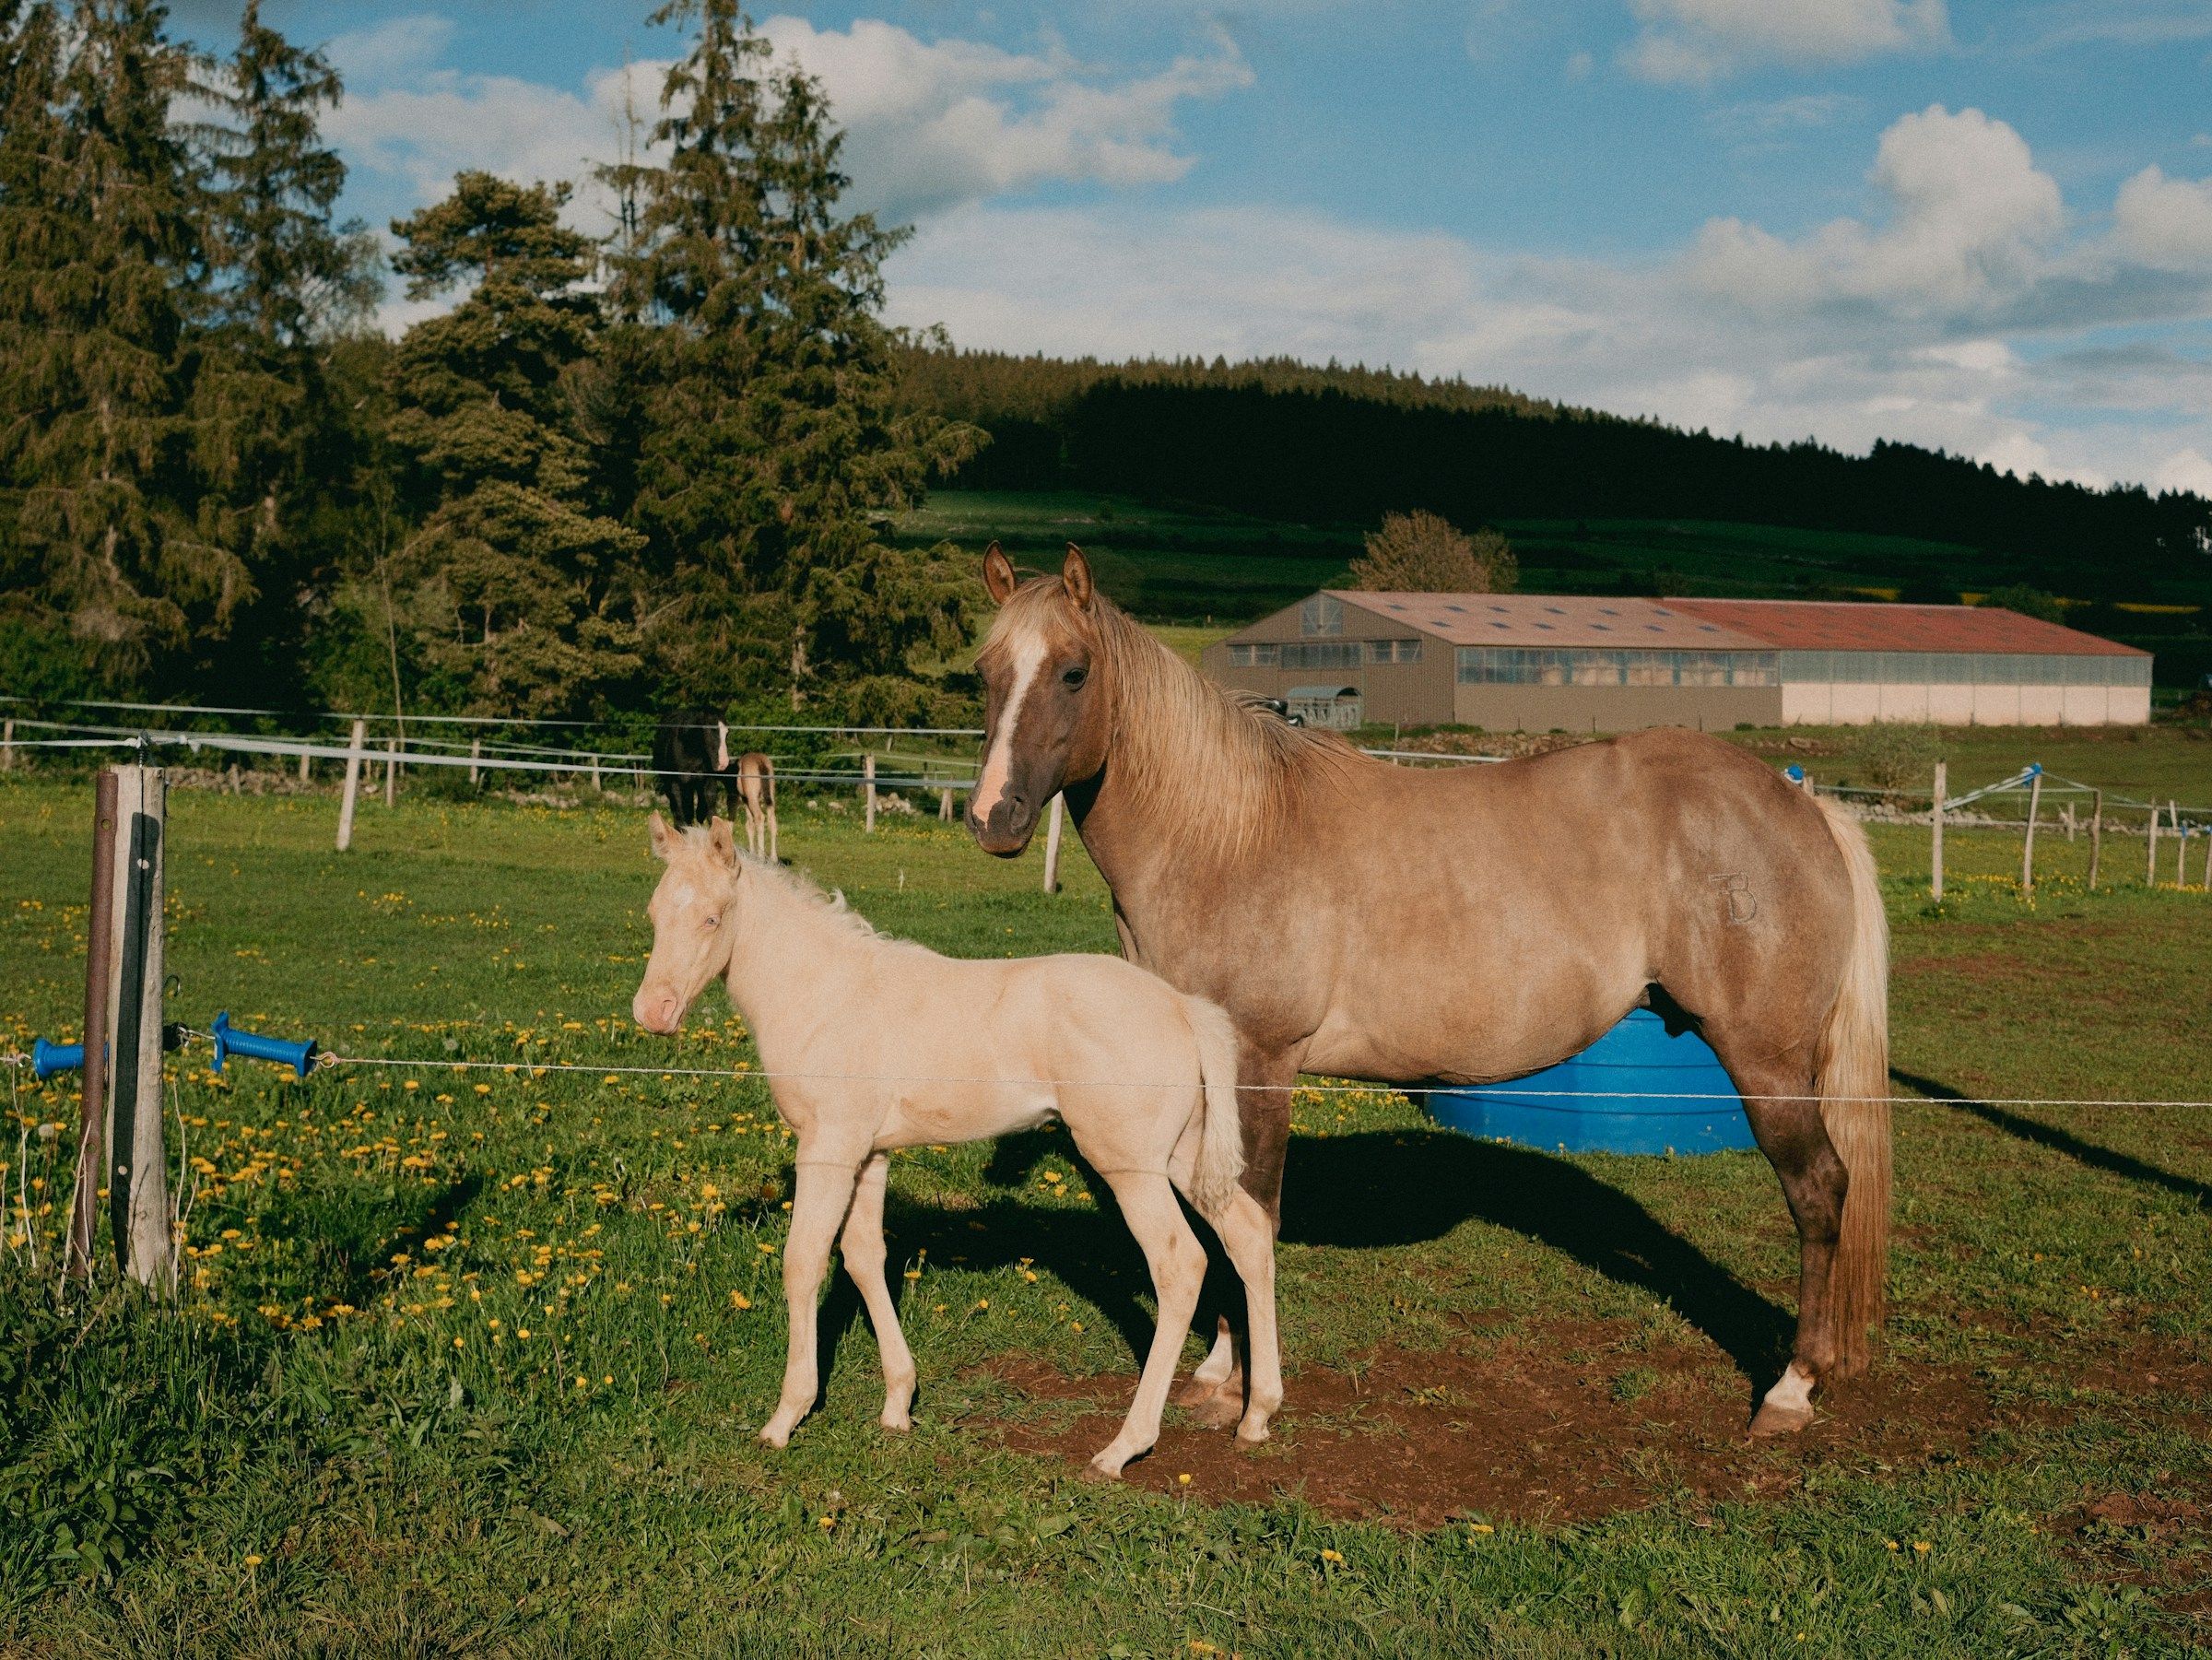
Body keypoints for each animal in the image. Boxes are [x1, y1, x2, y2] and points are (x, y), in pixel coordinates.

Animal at [630, 812, 1283, 1477]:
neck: (828, 994)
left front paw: (785, 1417)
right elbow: (864, 1258)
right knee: (1248, 1232)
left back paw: (1124, 1445)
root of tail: (1183, 1005)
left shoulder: (828, 1145)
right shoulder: (870, 1152)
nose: (653, 1012)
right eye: (654, 913)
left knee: (1180, 1263)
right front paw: (898, 1403)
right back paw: (1257, 1414)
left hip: (1130, 1167)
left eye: (713, 917)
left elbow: (803, 1261)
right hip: (1181, 1155)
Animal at [965, 544, 1890, 1439]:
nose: (991, 818)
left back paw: (1792, 1387)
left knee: (1819, 1189)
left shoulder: (1261, 1062)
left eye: (1074, 672)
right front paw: (1218, 1374)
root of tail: (1803, 805)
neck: (1228, 834)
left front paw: (1252, 1395)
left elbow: (1249, 1211)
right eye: (985, 673)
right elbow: (1218, 1206)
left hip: (1767, 1064)